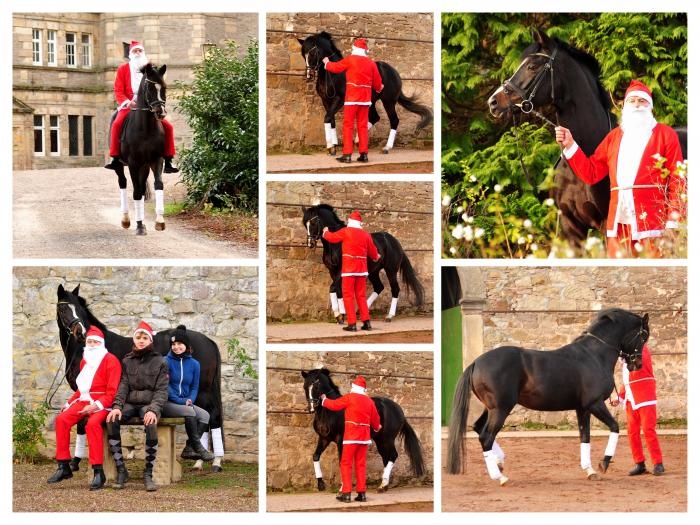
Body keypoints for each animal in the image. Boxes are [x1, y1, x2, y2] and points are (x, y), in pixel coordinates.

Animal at [55, 282, 224, 470]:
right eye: (63, 308)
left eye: (78, 308)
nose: (80, 333)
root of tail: (209, 341)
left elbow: (81, 424)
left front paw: (74, 462)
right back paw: (200, 461)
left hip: (203, 390)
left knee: (213, 416)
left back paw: (213, 461)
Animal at [115, 62, 171, 234]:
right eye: (150, 88)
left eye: (164, 88)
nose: (161, 112)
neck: (146, 128)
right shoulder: (133, 163)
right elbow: (136, 192)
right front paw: (139, 225)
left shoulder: (156, 160)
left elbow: (158, 185)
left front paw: (159, 221)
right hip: (120, 166)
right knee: (123, 183)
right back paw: (126, 219)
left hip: (144, 167)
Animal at [296, 31, 432, 155]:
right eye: (303, 54)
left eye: (313, 53)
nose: (309, 75)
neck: (333, 74)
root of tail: (394, 72)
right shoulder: (326, 100)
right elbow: (331, 120)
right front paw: (333, 147)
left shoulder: (339, 100)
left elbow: (327, 118)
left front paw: (330, 147)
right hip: (371, 100)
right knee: (375, 117)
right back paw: (358, 141)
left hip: (388, 101)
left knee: (394, 120)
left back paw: (386, 148)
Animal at [448, 310, 652, 486]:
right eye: (643, 336)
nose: (637, 364)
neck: (594, 354)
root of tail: (476, 362)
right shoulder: (595, 404)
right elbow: (615, 427)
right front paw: (604, 463)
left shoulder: (582, 408)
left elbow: (584, 437)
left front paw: (590, 471)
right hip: (501, 409)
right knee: (486, 437)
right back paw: (500, 477)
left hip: (491, 408)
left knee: (478, 428)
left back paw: (500, 462)